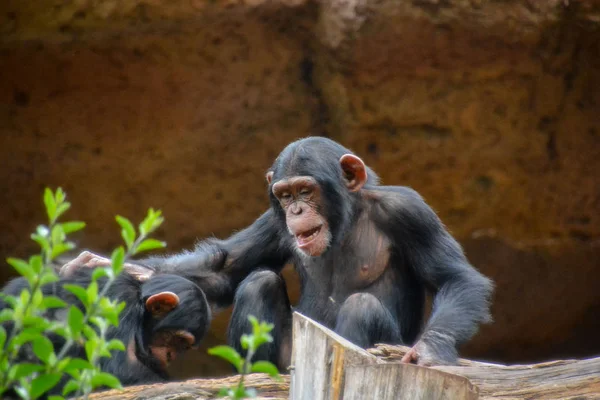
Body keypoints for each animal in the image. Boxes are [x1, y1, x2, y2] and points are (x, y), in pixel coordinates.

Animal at [63, 137, 494, 368]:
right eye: (284, 195)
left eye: (306, 190)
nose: (296, 211)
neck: (346, 219)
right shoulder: (273, 223)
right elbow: (227, 268)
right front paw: (103, 267)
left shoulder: (409, 210)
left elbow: (455, 277)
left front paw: (429, 352)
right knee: (260, 281)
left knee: (362, 306)